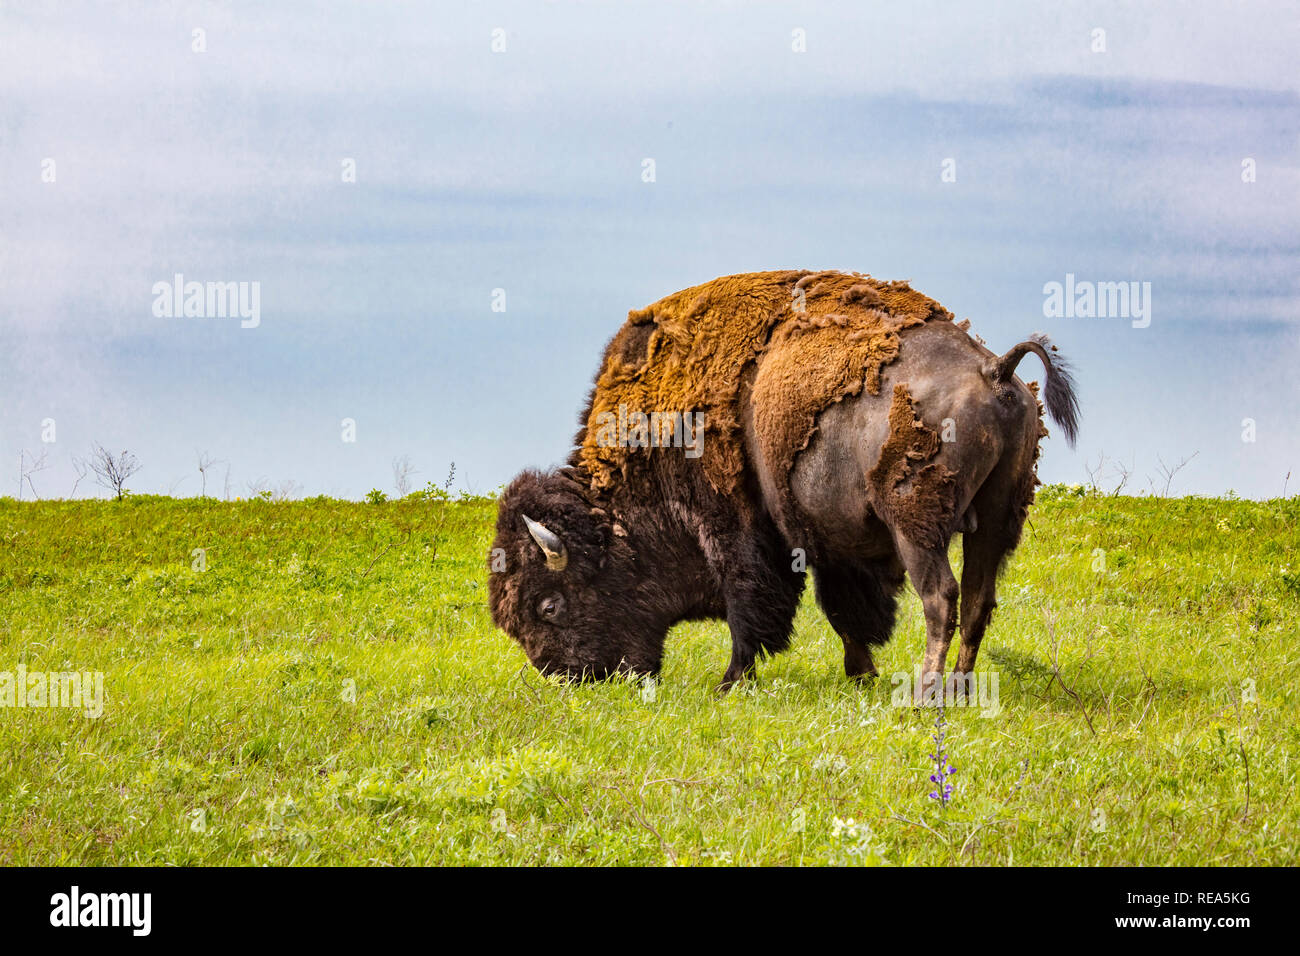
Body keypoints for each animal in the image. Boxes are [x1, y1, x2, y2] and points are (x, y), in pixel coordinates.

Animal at [488, 270, 1078, 696]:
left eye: (548, 606)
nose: (574, 678)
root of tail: (994, 370)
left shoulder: (739, 532)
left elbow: (751, 606)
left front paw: (730, 683)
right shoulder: (828, 543)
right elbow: (843, 610)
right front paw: (860, 673)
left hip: (917, 526)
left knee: (941, 597)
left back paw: (926, 693)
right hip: (997, 521)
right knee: (978, 599)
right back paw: (958, 688)